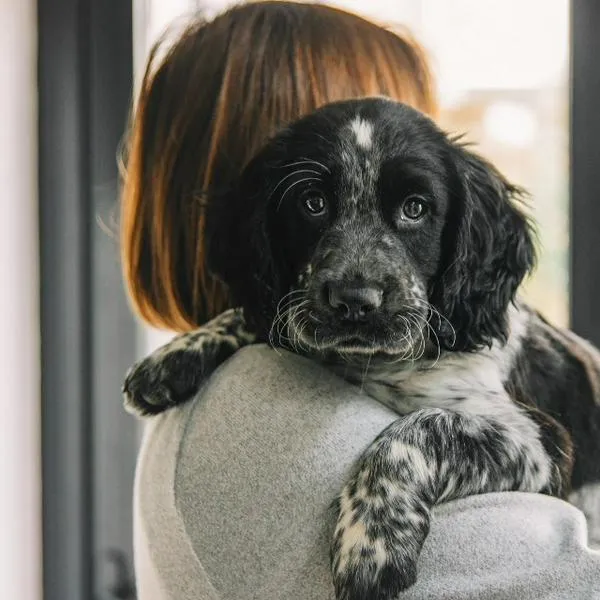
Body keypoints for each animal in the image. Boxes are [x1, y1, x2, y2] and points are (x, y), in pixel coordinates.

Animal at [123, 98, 600, 600]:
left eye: (415, 208)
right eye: (313, 203)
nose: (355, 301)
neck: (374, 366)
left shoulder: (541, 439)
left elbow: (421, 428)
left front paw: (372, 542)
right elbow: (267, 317)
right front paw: (174, 355)